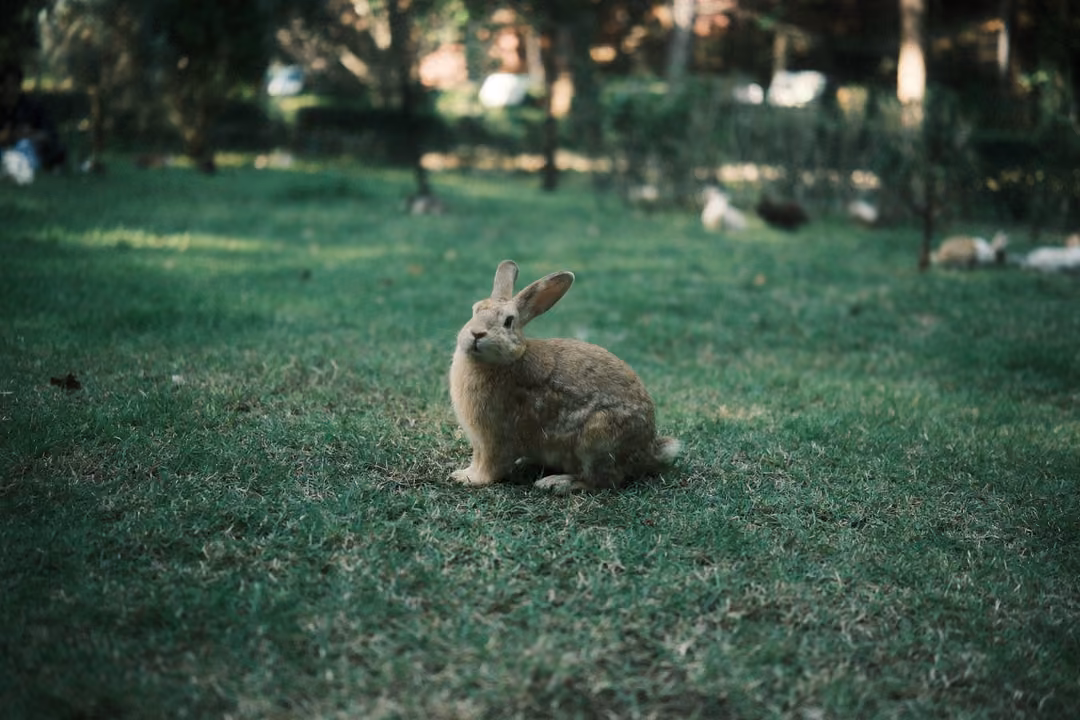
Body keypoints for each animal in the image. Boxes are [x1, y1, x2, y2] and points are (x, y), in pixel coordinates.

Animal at [449, 260, 681, 493]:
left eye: (508, 322)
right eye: (475, 310)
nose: (476, 333)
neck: (508, 360)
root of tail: (647, 451)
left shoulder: (493, 438)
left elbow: (490, 466)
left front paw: (466, 477)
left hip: (596, 440)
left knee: (602, 481)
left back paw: (556, 482)